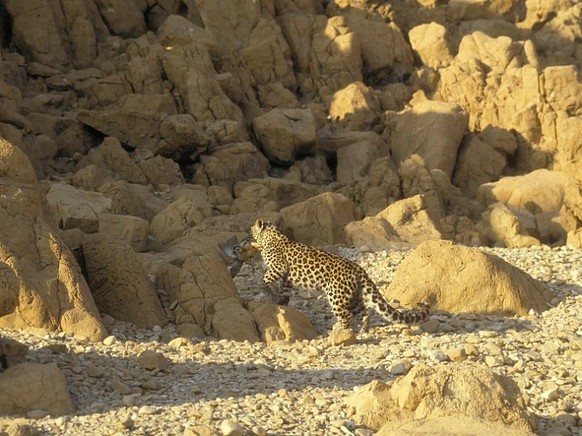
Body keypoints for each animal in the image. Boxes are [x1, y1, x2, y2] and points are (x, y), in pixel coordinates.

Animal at [246, 220, 428, 332]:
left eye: (251, 229)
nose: (246, 235)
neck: (271, 236)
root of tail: (359, 269)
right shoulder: (286, 278)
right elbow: (283, 291)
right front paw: (280, 301)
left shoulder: (278, 266)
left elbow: (266, 278)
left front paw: (265, 290)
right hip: (354, 297)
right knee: (364, 312)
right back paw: (362, 331)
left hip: (336, 296)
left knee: (346, 316)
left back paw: (340, 332)